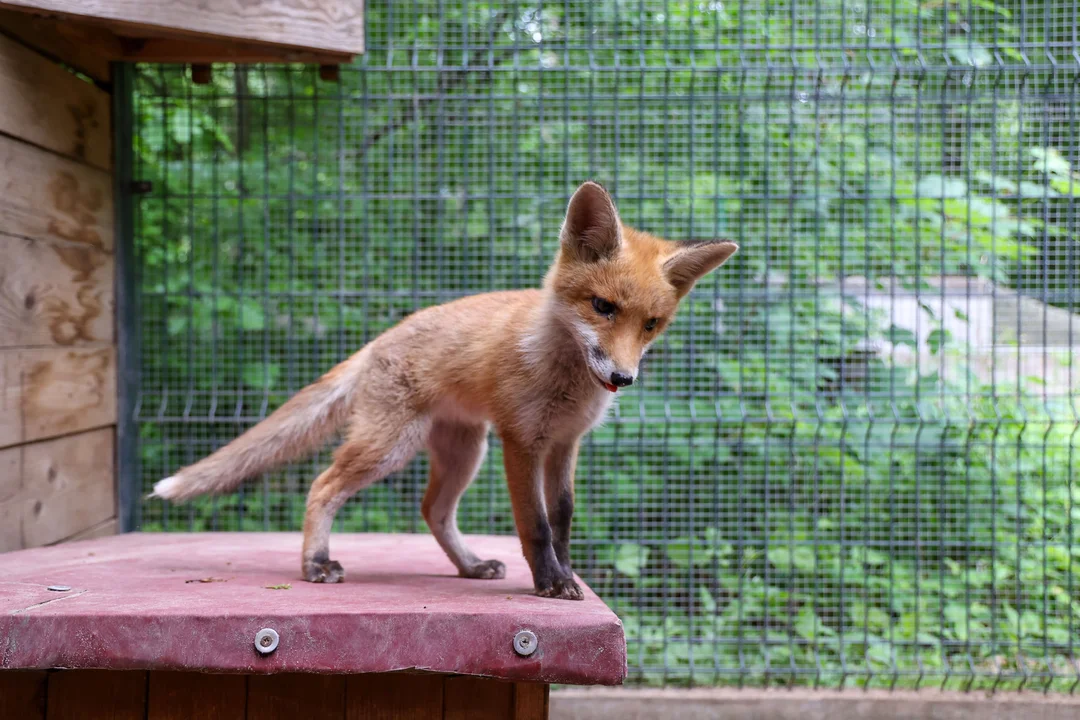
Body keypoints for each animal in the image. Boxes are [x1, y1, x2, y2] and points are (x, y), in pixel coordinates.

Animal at [150, 183, 734, 600]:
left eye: (651, 325)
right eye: (602, 307)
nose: (622, 377)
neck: (565, 380)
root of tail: (379, 339)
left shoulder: (565, 443)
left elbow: (564, 518)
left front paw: (568, 576)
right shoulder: (521, 440)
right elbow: (536, 525)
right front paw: (550, 584)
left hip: (464, 451)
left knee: (432, 509)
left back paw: (470, 565)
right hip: (392, 446)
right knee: (322, 484)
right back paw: (315, 563)